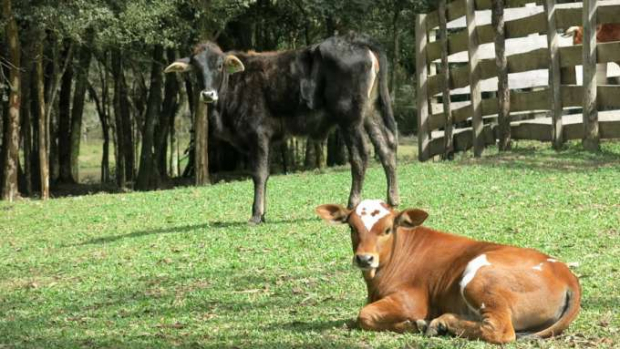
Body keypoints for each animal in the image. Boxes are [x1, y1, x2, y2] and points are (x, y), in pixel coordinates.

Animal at [165, 33, 398, 223]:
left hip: (349, 118)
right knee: (386, 148)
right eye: (196, 68)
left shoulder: (258, 134)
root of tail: (356, 40)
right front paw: (262, 213)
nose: (207, 94)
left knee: (360, 156)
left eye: (219, 65)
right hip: (370, 113)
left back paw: (352, 204)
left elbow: (259, 173)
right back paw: (393, 200)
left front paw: (256, 214)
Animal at [314, 198, 580, 342]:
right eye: (352, 227)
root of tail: (566, 273)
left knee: (501, 330)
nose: (364, 258)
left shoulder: (412, 301)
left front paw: (412, 324)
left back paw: (440, 323)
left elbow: (364, 315)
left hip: (477, 278)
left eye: (387, 229)